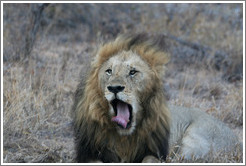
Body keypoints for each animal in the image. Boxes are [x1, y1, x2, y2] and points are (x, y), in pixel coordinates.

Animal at [72, 33, 241, 162]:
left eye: (133, 72)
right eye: (109, 71)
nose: (114, 88)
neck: (123, 137)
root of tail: (237, 139)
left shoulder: (154, 152)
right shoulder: (88, 153)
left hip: (196, 139)